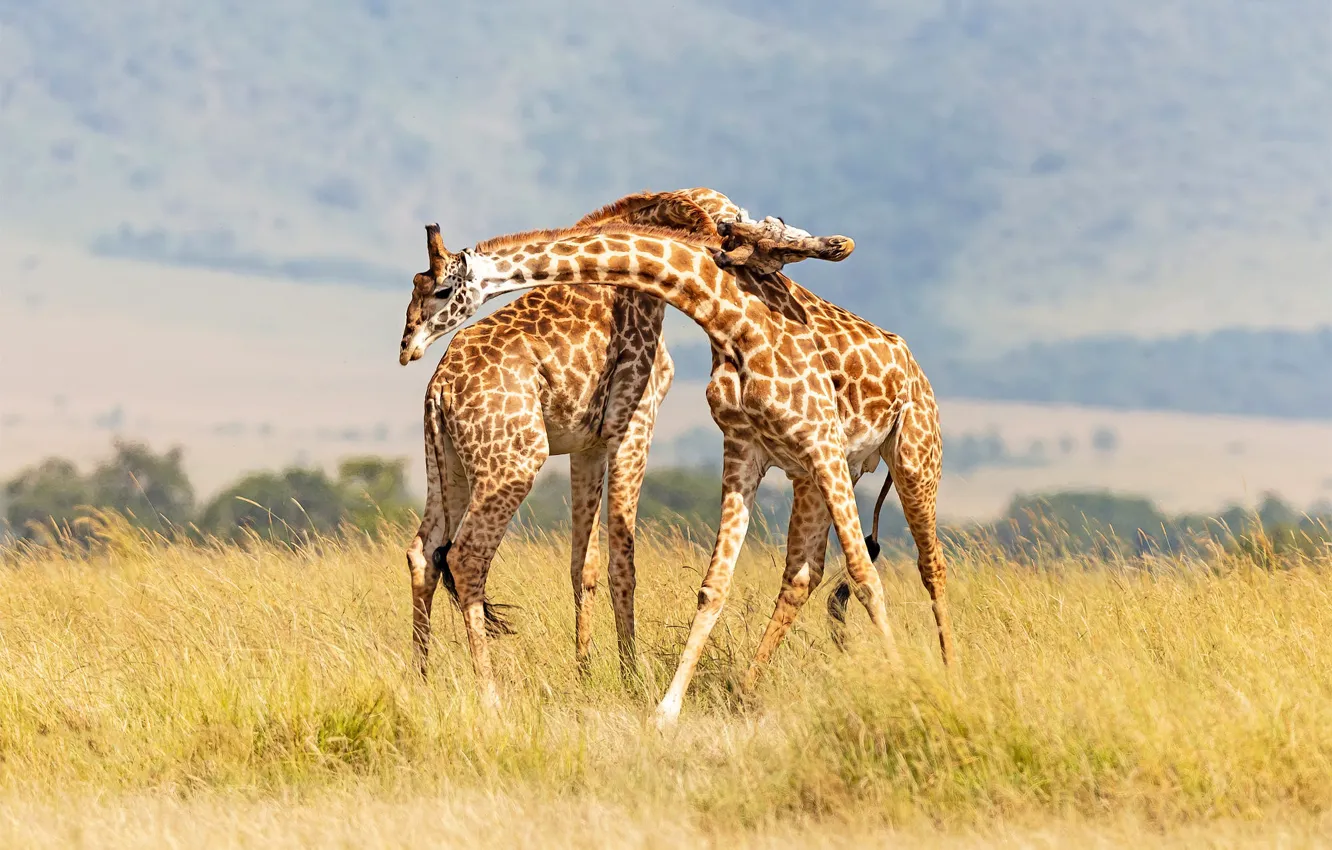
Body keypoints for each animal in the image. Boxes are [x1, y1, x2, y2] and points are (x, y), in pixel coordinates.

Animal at [398, 209, 954, 728]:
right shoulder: (748, 449)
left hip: (911, 455)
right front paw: (666, 710)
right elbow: (713, 585)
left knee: (930, 565)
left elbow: (864, 575)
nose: (407, 346)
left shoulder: (819, 441)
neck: (731, 318)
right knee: (803, 575)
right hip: (818, 475)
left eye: (441, 288)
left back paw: (950, 672)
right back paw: (745, 691)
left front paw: (903, 690)